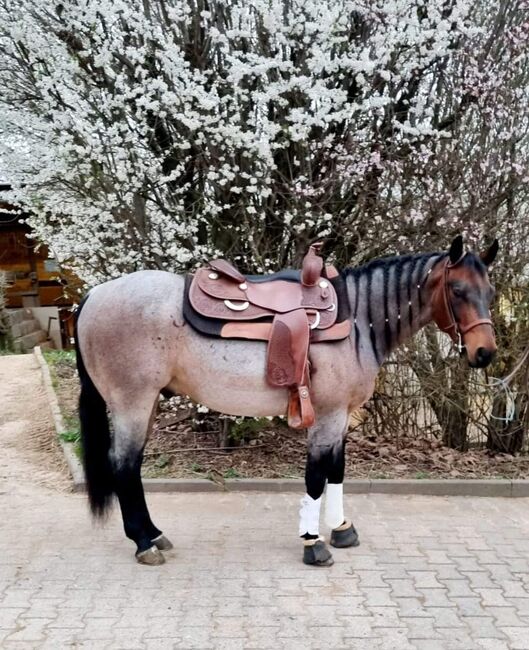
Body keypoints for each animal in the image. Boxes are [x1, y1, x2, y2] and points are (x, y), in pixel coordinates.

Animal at [75, 235, 500, 564]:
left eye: (490, 292)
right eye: (458, 291)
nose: (485, 353)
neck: (357, 319)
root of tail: (94, 294)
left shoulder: (341, 418)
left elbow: (336, 472)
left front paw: (341, 529)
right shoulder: (327, 416)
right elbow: (315, 477)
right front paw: (313, 544)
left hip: (146, 404)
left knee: (132, 467)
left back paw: (154, 534)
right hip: (132, 403)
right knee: (124, 465)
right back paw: (143, 543)